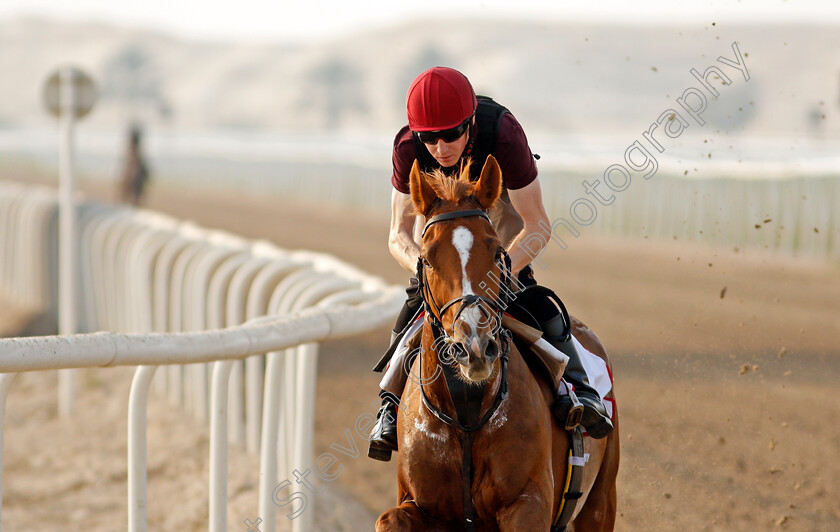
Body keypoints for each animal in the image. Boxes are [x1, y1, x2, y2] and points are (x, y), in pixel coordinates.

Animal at [374, 156, 616, 528]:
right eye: (427, 258)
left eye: (496, 250)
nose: (474, 347)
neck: (466, 413)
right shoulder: (419, 503)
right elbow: (389, 519)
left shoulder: (527, 503)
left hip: (601, 500)